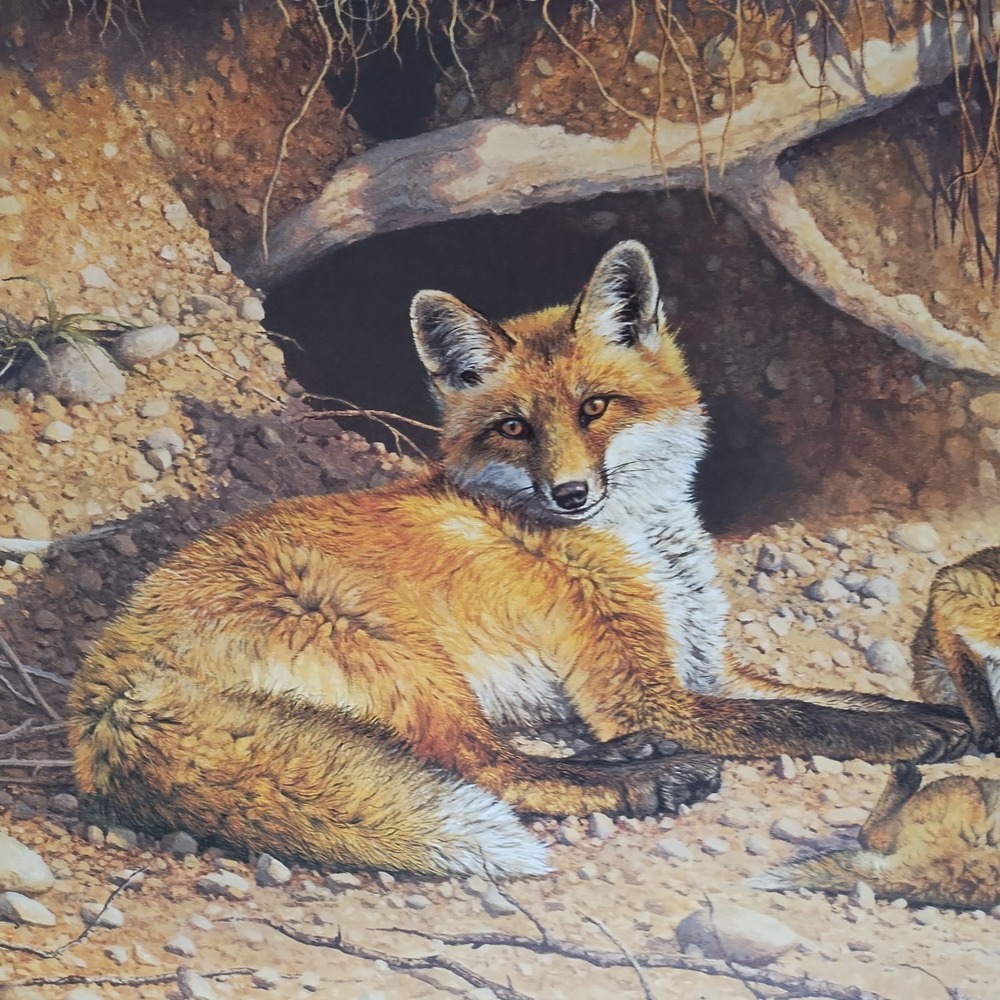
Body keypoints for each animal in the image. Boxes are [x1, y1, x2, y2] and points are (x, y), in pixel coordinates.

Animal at [68, 240, 971, 879]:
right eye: (514, 428)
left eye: (596, 407)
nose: (570, 495)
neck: (648, 546)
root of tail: (104, 688)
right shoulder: (653, 695)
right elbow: (806, 718)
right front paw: (914, 736)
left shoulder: (703, 667)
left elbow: (833, 694)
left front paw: (945, 715)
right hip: (407, 660)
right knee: (491, 769)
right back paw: (650, 779)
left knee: (505, 756)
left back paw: (627, 759)